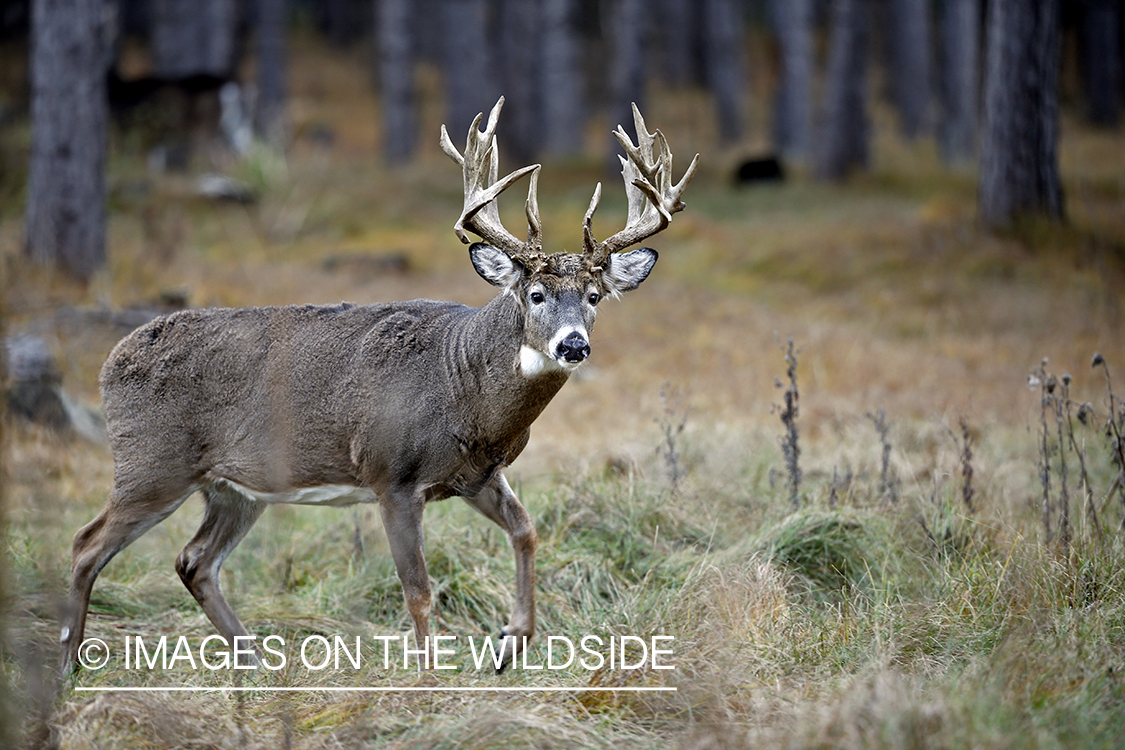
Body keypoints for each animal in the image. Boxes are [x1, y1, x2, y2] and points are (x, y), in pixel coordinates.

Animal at [61, 96, 697, 679]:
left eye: (594, 297)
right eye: (535, 294)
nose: (574, 346)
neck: (466, 390)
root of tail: (110, 362)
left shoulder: (474, 475)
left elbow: (527, 531)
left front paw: (510, 643)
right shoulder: (391, 476)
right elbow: (419, 589)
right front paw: (427, 679)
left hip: (234, 488)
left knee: (194, 560)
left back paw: (256, 663)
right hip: (152, 463)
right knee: (86, 544)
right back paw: (69, 663)